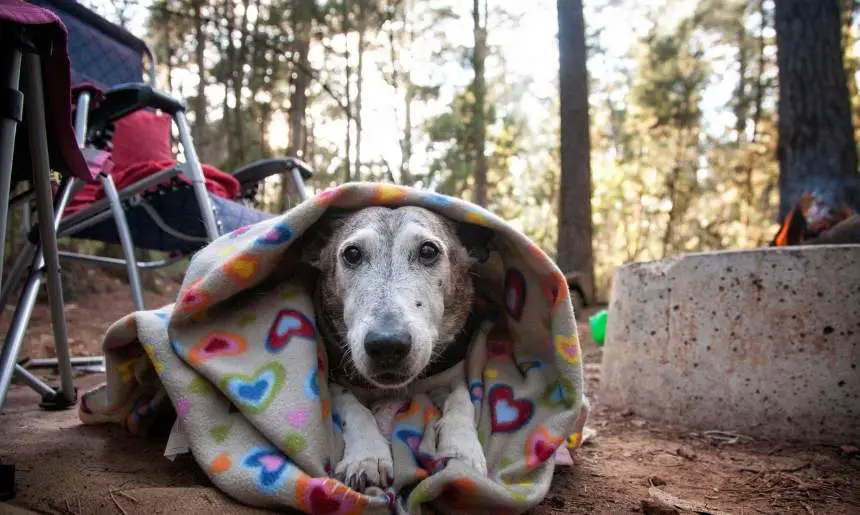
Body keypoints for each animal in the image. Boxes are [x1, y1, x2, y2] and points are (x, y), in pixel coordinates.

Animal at [300, 206, 490, 492]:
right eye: (352, 254)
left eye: (428, 251)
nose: (386, 344)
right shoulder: (333, 378)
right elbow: (353, 406)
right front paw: (367, 456)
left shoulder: (454, 373)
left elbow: (462, 399)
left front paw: (463, 450)